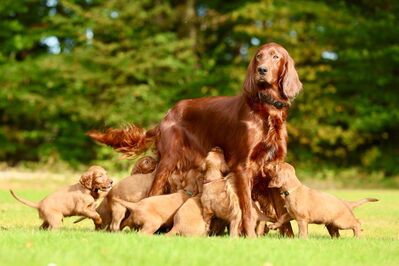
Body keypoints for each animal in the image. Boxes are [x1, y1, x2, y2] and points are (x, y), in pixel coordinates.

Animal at [89, 42, 304, 236]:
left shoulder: (273, 166)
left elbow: (281, 212)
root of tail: (166, 116)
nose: (262, 70)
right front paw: (250, 236)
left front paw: (290, 239)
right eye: (259, 56)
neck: (266, 110)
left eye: (276, 57)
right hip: (168, 162)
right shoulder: (243, 166)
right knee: (152, 194)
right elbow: (247, 210)